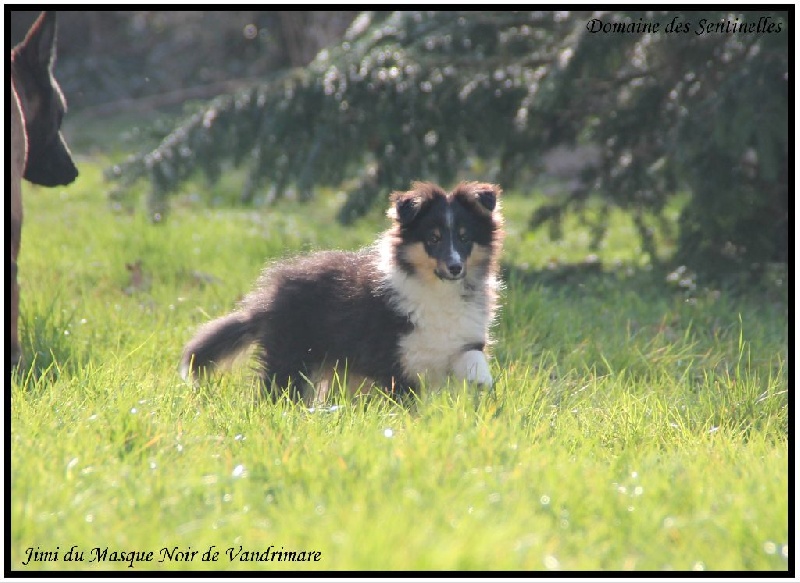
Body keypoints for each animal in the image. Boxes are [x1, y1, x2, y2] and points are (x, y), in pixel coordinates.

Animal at [184, 181, 504, 402]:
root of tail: (269, 296)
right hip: (293, 353)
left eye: (464, 238)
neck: (437, 290)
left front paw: (484, 386)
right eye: (433, 239)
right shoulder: (393, 356)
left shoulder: (462, 339)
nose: (455, 267)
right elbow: (406, 399)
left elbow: (473, 360)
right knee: (280, 389)